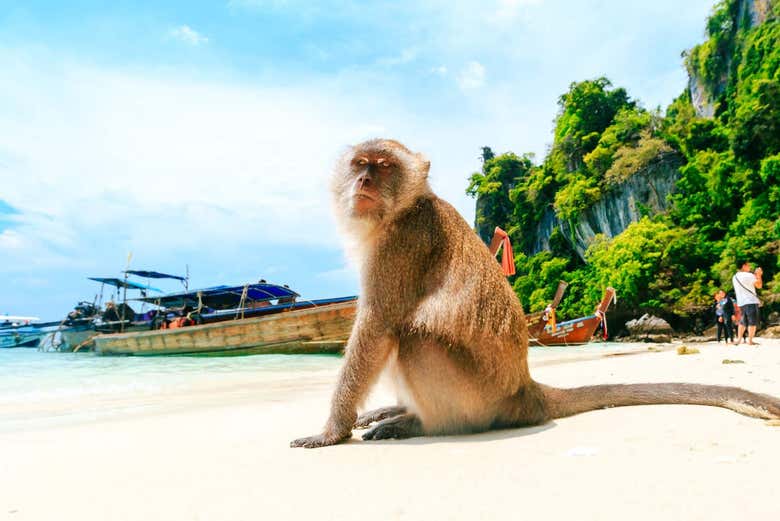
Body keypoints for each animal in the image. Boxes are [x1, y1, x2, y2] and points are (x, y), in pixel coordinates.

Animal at [290, 138, 780, 448]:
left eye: (385, 166)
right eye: (361, 164)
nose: (364, 182)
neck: (402, 209)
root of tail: (526, 390)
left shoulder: (401, 243)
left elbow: (377, 326)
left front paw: (332, 430)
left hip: (477, 399)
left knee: (413, 336)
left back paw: (420, 424)